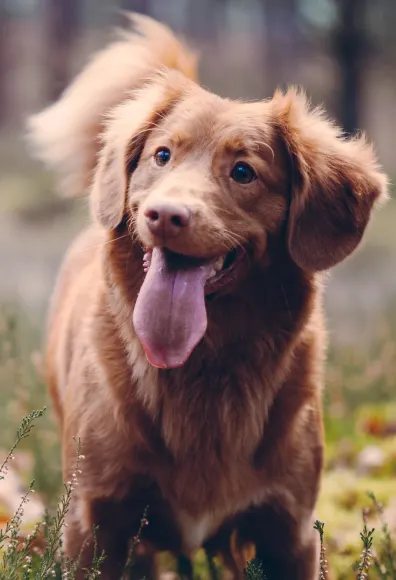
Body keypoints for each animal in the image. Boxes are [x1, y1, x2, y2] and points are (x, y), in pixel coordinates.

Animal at [27, 12, 386, 580]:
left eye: (243, 172)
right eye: (162, 155)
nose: (165, 215)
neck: (204, 367)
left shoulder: (289, 532)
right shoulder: (94, 521)